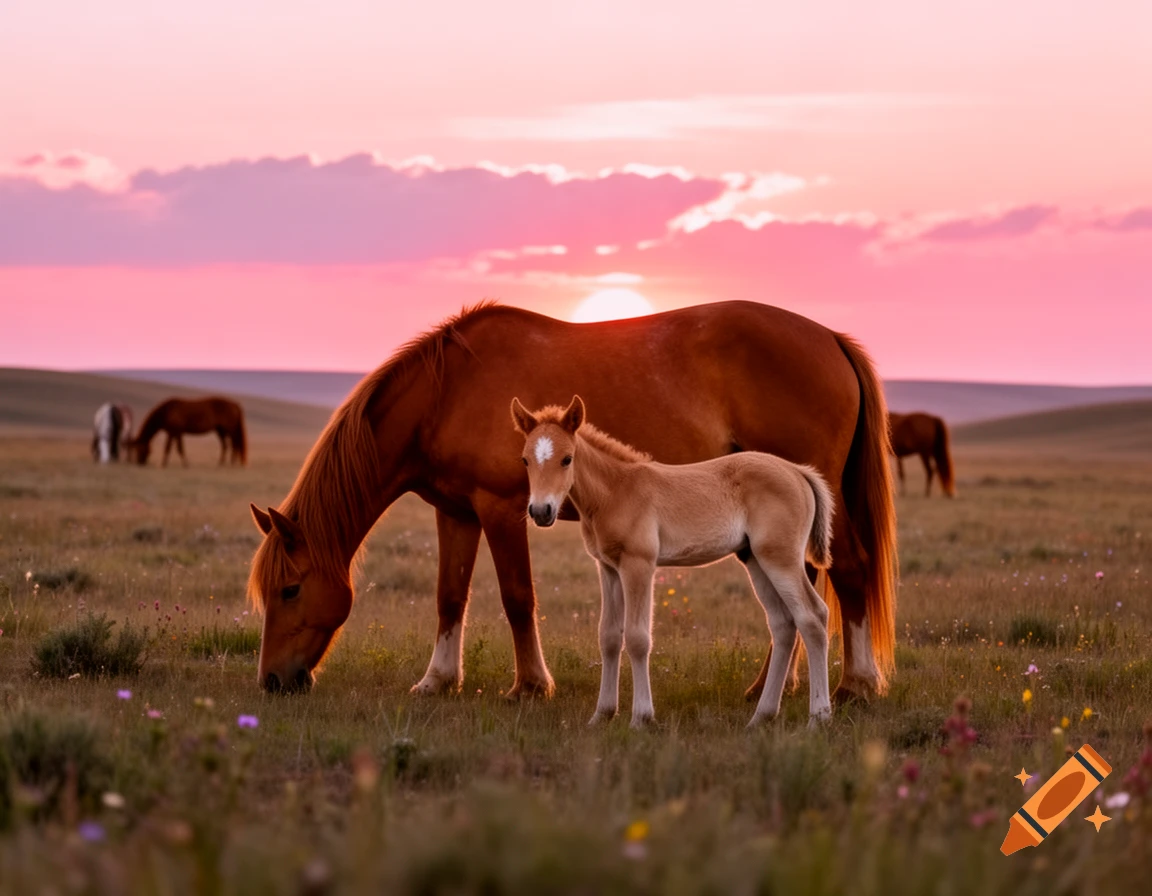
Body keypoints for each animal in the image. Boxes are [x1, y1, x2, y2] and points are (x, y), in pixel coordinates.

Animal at [512, 395, 834, 728]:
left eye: (567, 459)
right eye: (525, 460)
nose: (541, 512)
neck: (616, 491)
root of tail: (797, 471)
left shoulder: (639, 565)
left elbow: (638, 638)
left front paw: (641, 717)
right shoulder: (609, 568)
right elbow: (609, 637)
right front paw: (601, 715)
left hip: (781, 558)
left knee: (812, 616)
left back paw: (818, 718)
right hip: (756, 559)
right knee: (783, 625)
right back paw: (761, 717)